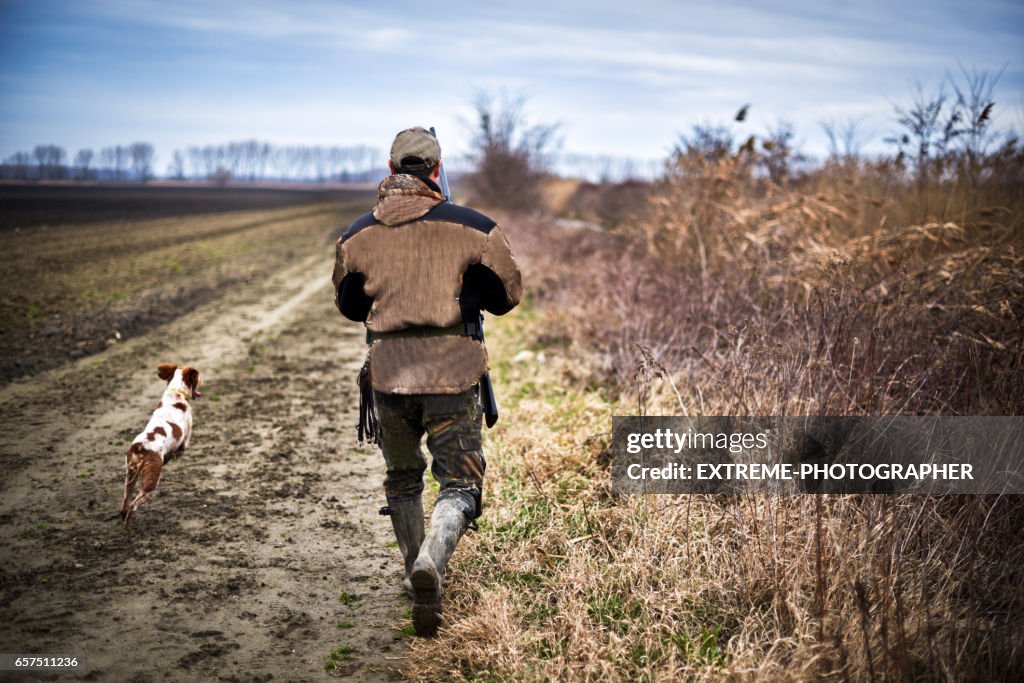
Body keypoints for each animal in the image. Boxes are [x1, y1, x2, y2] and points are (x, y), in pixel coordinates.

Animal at [120, 362, 201, 528]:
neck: (176, 395)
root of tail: (140, 448)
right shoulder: (184, 443)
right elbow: (176, 452)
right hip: (150, 484)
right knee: (134, 504)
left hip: (129, 477)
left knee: (125, 500)